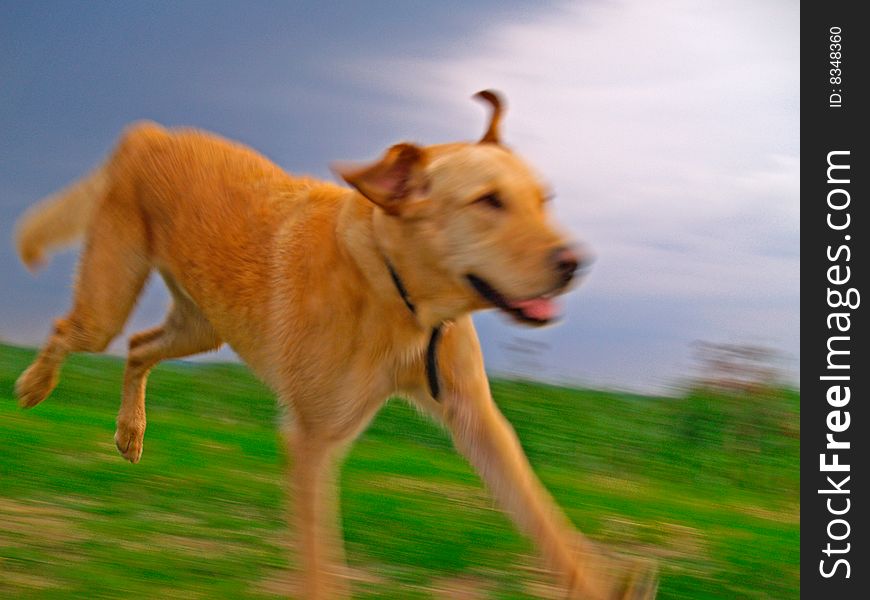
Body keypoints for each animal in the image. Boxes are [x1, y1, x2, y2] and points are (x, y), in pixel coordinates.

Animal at [13, 91, 656, 596]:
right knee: (71, 330)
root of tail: (150, 133)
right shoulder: (313, 441)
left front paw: (598, 582)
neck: (398, 294)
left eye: (544, 200)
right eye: (488, 201)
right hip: (108, 303)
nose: (575, 264)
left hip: (203, 327)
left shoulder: (478, 422)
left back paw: (130, 432)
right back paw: (35, 385)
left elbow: (543, 519)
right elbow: (321, 569)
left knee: (140, 347)